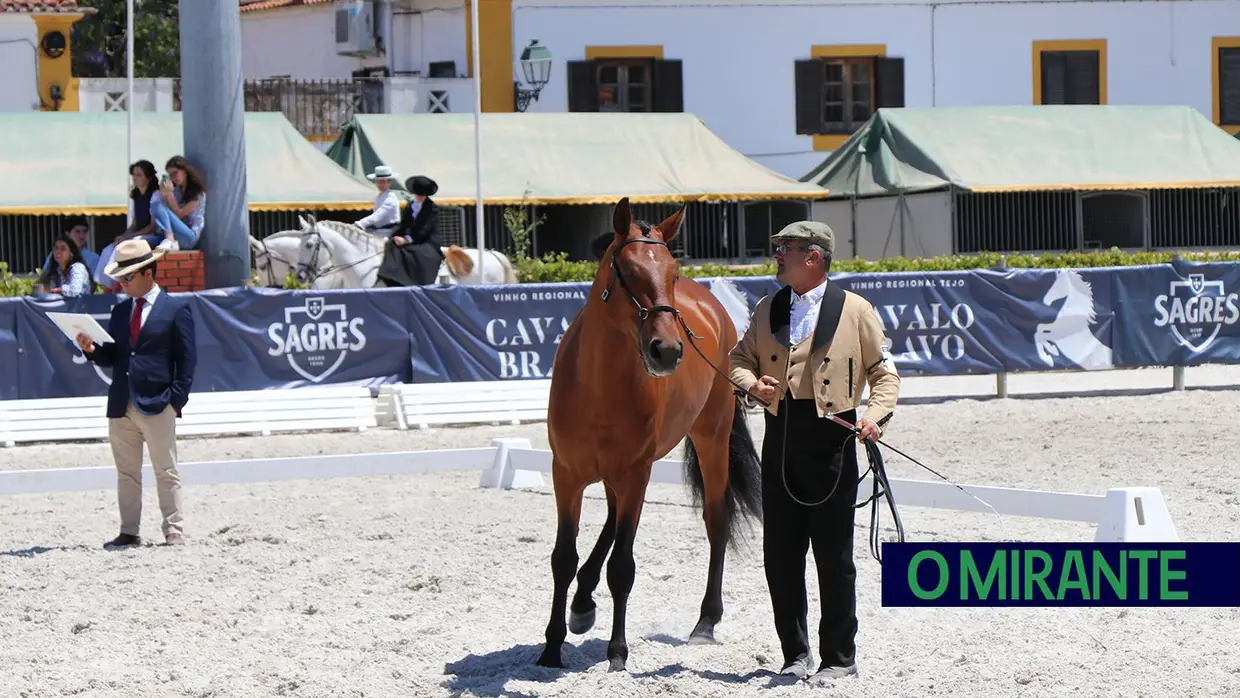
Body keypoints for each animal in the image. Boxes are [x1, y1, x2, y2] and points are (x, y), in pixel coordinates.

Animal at [540, 195, 763, 669]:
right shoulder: (566, 474)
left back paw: (705, 622)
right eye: (627, 271)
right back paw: (582, 603)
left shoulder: (636, 473)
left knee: (716, 521)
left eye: (672, 274)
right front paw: (551, 647)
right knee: (608, 522)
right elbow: (563, 558)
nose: (668, 351)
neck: (598, 383)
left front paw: (617, 653)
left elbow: (623, 567)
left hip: (710, 439)